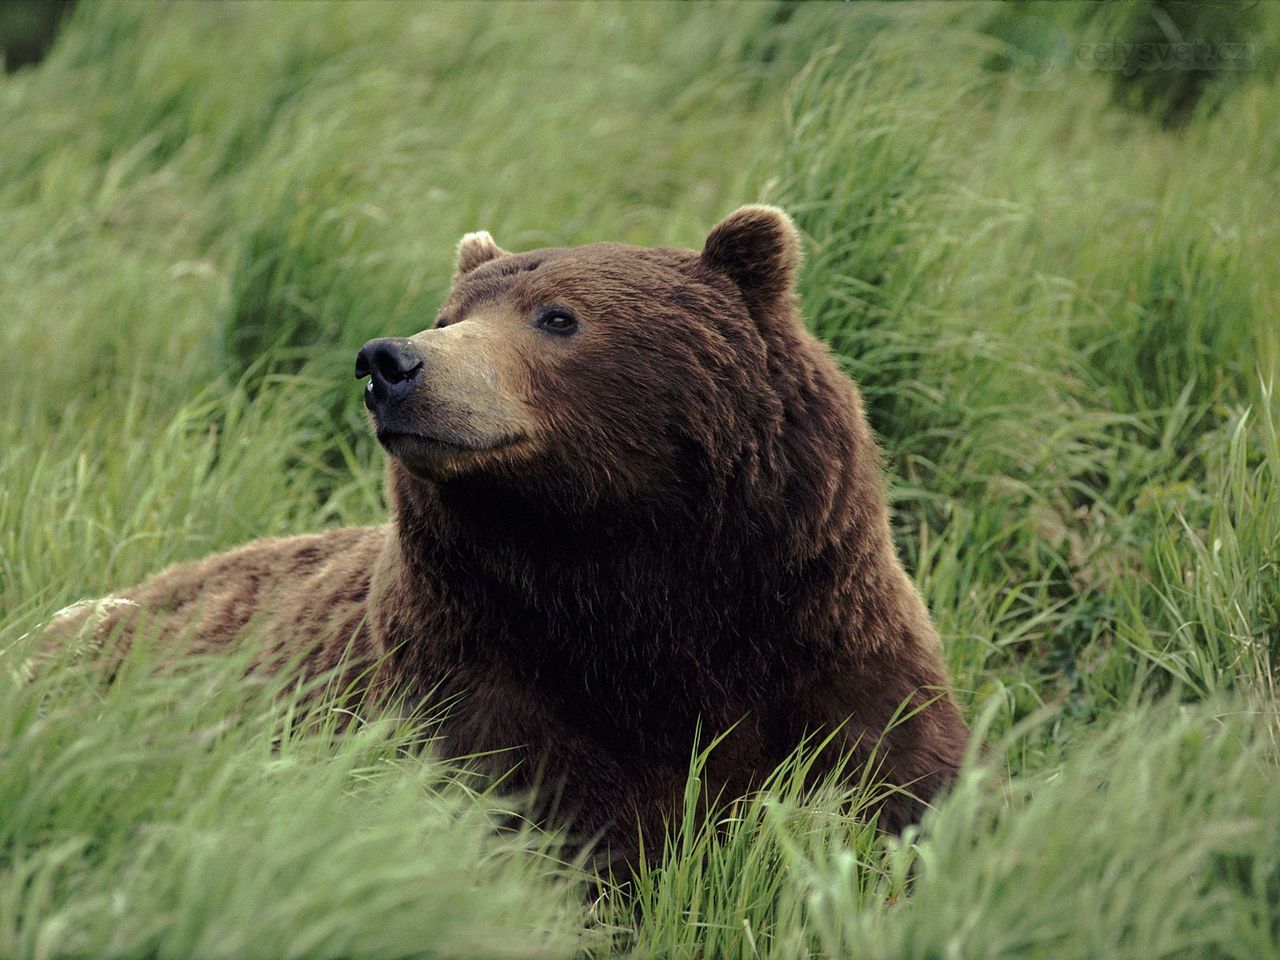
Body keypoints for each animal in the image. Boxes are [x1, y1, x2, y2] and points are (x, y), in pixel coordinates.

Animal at [49, 207, 967, 875]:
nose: (390, 362)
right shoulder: (479, 674)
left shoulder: (822, 640)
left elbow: (891, 788)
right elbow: (534, 820)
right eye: (449, 315)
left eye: (557, 316)